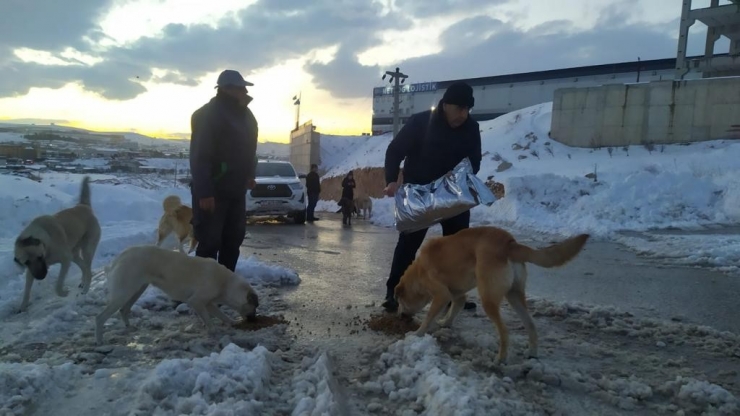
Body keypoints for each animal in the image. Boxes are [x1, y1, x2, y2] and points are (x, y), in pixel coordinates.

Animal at [13, 176, 101, 312]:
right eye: (26, 262)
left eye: (40, 257)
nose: (41, 276)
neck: (45, 241)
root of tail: (83, 206)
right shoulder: (31, 270)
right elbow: (26, 290)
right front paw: (22, 306)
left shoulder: (65, 260)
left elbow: (58, 285)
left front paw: (64, 292)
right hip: (74, 254)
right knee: (83, 267)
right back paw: (82, 283)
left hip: (86, 250)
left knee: (88, 270)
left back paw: (86, 288)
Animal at [95, 245, 258, 346]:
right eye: (255, 306)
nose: (254, 320)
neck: (225, 283)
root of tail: (119, 257)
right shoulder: (196, 301)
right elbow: (209, 319)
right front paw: (214, 330)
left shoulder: (208, 303)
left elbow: (221, 314)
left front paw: (231, 322)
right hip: (125, 293)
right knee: (100, 317)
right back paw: (100, 340)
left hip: (136, 290)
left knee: (124, 310)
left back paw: (129, 327)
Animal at [394, 226, 588, 362]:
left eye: (401, 302)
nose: (400, 316)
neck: (418, 272)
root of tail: (509, 243)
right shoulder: (456, 294)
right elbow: (455, 307)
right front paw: (446, 322)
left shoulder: (442, 295)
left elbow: (429, 317)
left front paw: (418, 333)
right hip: (514, 296)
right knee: (531, 324)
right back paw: (532, 353)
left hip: (488, 298)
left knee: (504, 330)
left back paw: (501, 358)